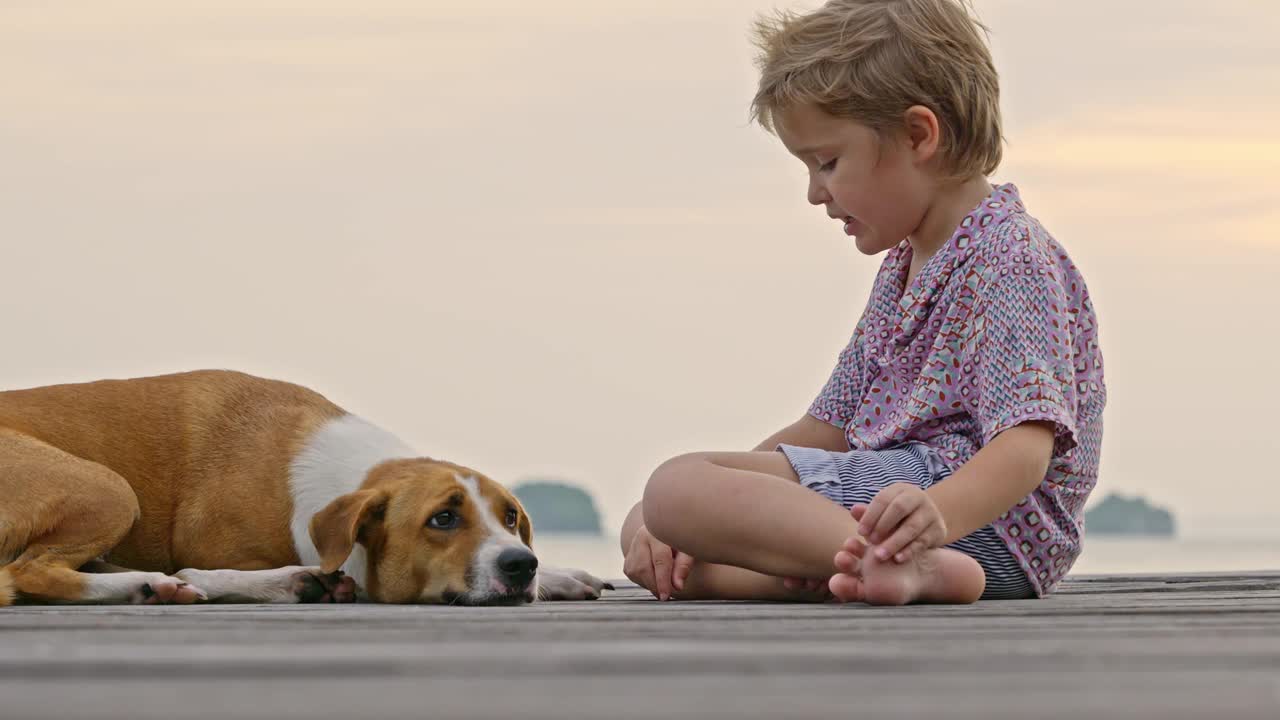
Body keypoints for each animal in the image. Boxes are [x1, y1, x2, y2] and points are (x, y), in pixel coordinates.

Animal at [0, 368, 609, 604]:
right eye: (443, 518)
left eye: (511, 518)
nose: (521, 564)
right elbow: (202, 566)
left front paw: (560, 574)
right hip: (109, 487)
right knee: (28, 572)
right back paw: (151, 585)